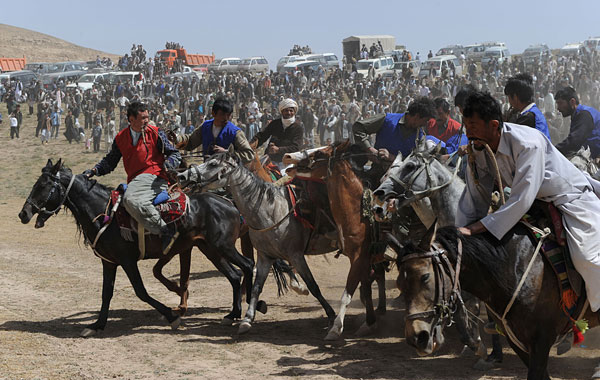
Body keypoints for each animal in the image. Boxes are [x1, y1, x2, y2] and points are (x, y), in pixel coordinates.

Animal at [18, 159, 255, 336]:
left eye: (43, 185)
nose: (23, 214)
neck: (105, 213)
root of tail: (229, 203)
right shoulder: (109, 262)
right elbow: (106, 293)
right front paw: (97, 325)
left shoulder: (127, 260)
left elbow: (141, 291)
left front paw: (172, 316)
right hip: (211, 249)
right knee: (235, 275)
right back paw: (233, 314)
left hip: (223, 246)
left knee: (247, 265)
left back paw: (246, 314)